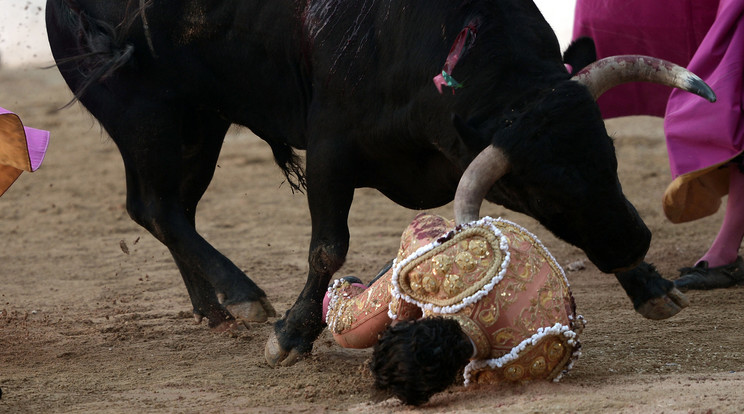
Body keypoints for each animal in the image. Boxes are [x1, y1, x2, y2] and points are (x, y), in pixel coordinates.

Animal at [46, 0, 716, 366]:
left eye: (608, 156)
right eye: (540, 193)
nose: (634, 243)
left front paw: (651, 286)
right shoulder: (330, 148)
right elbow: (327, 247)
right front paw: (290, 336)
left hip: (199, 123)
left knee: (167, 208)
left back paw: (214, 308)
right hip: (147, 116)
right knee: (156, 207)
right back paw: (242, 296)